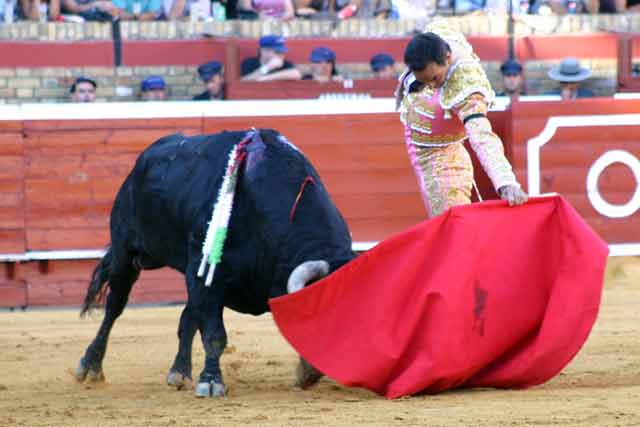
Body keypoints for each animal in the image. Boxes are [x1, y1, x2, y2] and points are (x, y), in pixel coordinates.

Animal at [76, 130, 356, 398]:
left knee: (186, 316)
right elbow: (214, 334)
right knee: (114, 306)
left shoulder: (203, 277)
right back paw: (90, 366)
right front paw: (210, 382)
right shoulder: (208, 276)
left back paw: (179, 372)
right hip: (126, 250)